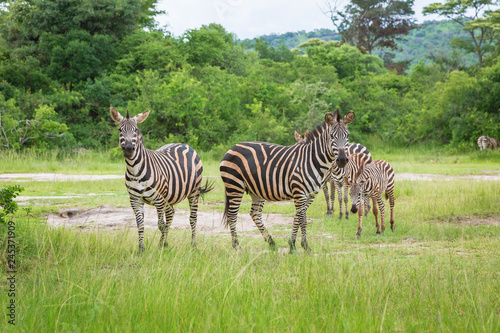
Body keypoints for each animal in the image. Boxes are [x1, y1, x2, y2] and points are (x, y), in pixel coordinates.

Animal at [109, 107, 213, 250]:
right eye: (120, 130)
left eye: (135, 130)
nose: (129, 149)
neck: (134, 170)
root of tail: (183, 144)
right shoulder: (135, 200)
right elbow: (140, 224)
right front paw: (142, 248)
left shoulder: (158, 200)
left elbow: (160, 224)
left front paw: (162, 246)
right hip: (169, 197)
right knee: (171, 213)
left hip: (194, 191)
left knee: (192, 218)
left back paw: (193, 245)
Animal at [221, 109, 354, 252]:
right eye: (332, 136)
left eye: (347, 135)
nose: (342, 160)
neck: (313, 159)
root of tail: (232, 147)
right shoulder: (299, 192)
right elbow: (303, 219)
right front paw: (306, 247)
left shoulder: (310, 195)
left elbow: (297, 217)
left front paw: (292, 245)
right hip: (234, 186)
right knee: (232, 215)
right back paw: (237, 246)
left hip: (255, 189)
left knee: (255, 214)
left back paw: (271, 243)